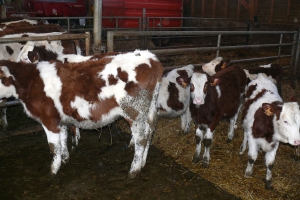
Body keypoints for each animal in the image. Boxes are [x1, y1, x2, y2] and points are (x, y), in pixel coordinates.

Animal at [0, 50, 164, 178]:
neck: (31, 81)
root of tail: (150, 57)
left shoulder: (48, 119)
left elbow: (53, 146)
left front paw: (53, 170)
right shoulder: (60, 120)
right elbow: (63, 139)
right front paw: (65, 159)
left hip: (134, 111)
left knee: (141, 138)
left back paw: (134, 170)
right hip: (148, 111)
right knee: (149, 131)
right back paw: (142, 163)